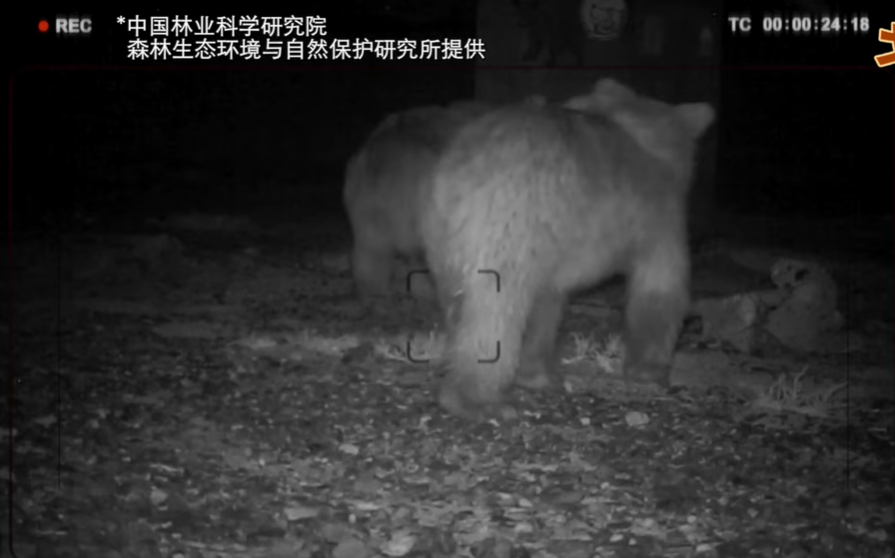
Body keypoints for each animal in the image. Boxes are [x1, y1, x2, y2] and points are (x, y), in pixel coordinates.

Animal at [418, 78, 716, 420]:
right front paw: (651, 371)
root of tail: (464, 167)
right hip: (509, 215)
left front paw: (537, 375)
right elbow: (660, 289)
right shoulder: (660, 219)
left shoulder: (556, 238)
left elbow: (546, 306)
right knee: (496, 307)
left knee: (459, 300)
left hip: (443, 230)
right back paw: (479, 399)